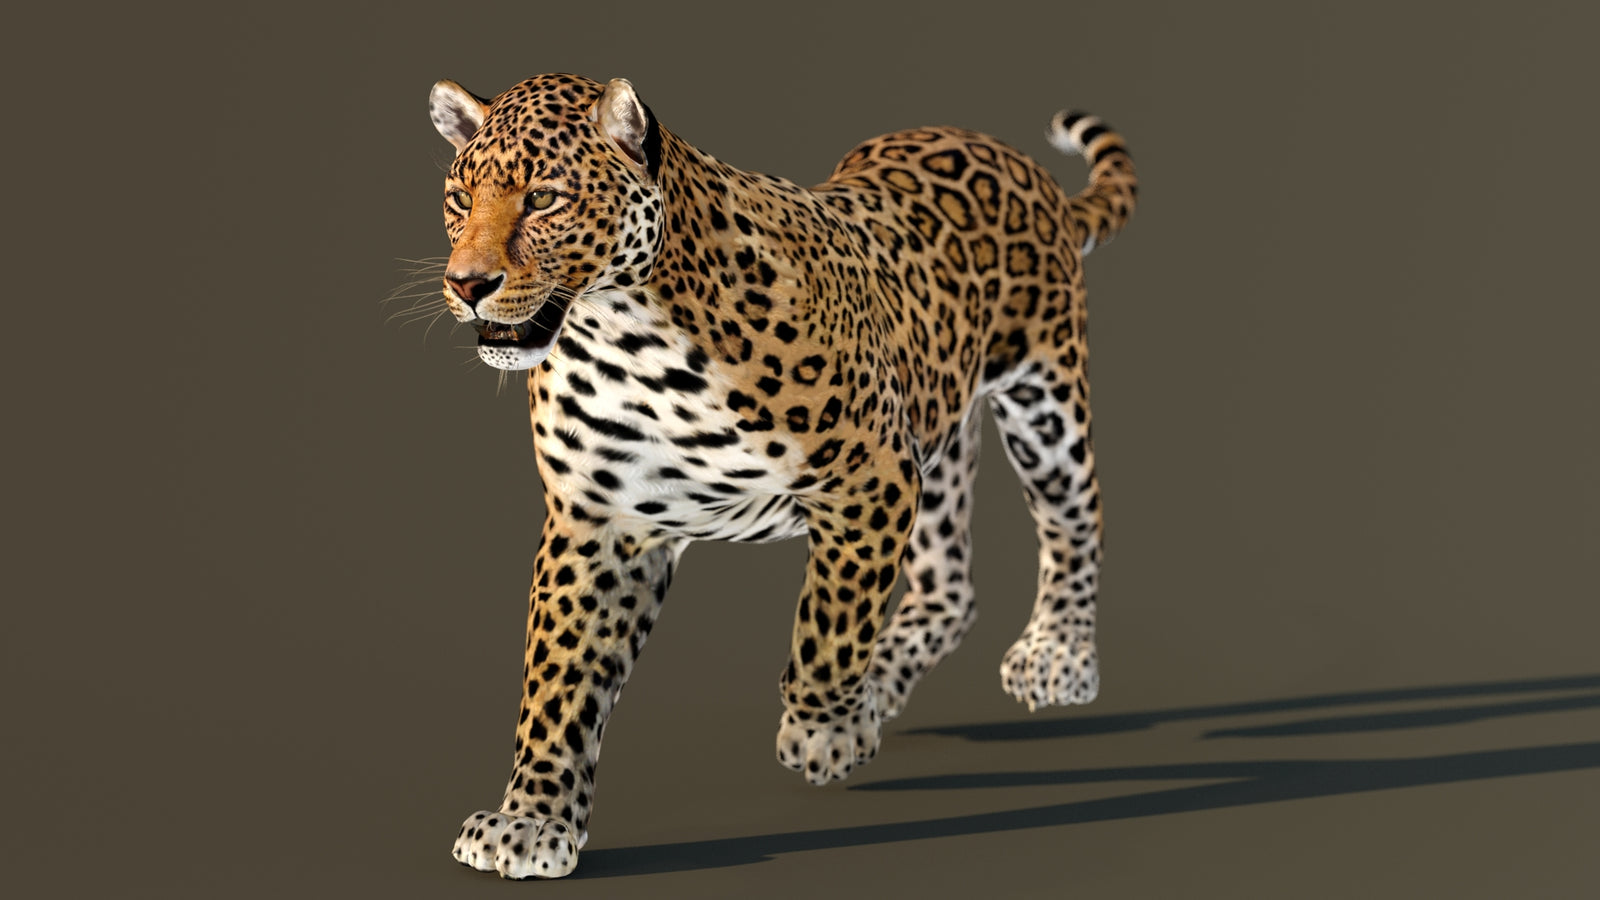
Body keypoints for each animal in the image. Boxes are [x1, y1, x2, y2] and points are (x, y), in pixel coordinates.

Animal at [419, 72, 1137, 879]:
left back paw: (1057, 656)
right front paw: (531, 820)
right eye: (459, 197)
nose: (467, 285)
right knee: (951, 585)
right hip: (935, 433)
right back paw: (887, 681)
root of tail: (1013, 158)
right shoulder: (597, 521)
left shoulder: (869, 476)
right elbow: (558, 680)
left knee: (1075, 521)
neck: (625, 336)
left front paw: (824, 733)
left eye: (544, 197)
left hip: (1043, 403)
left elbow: (829, 626)